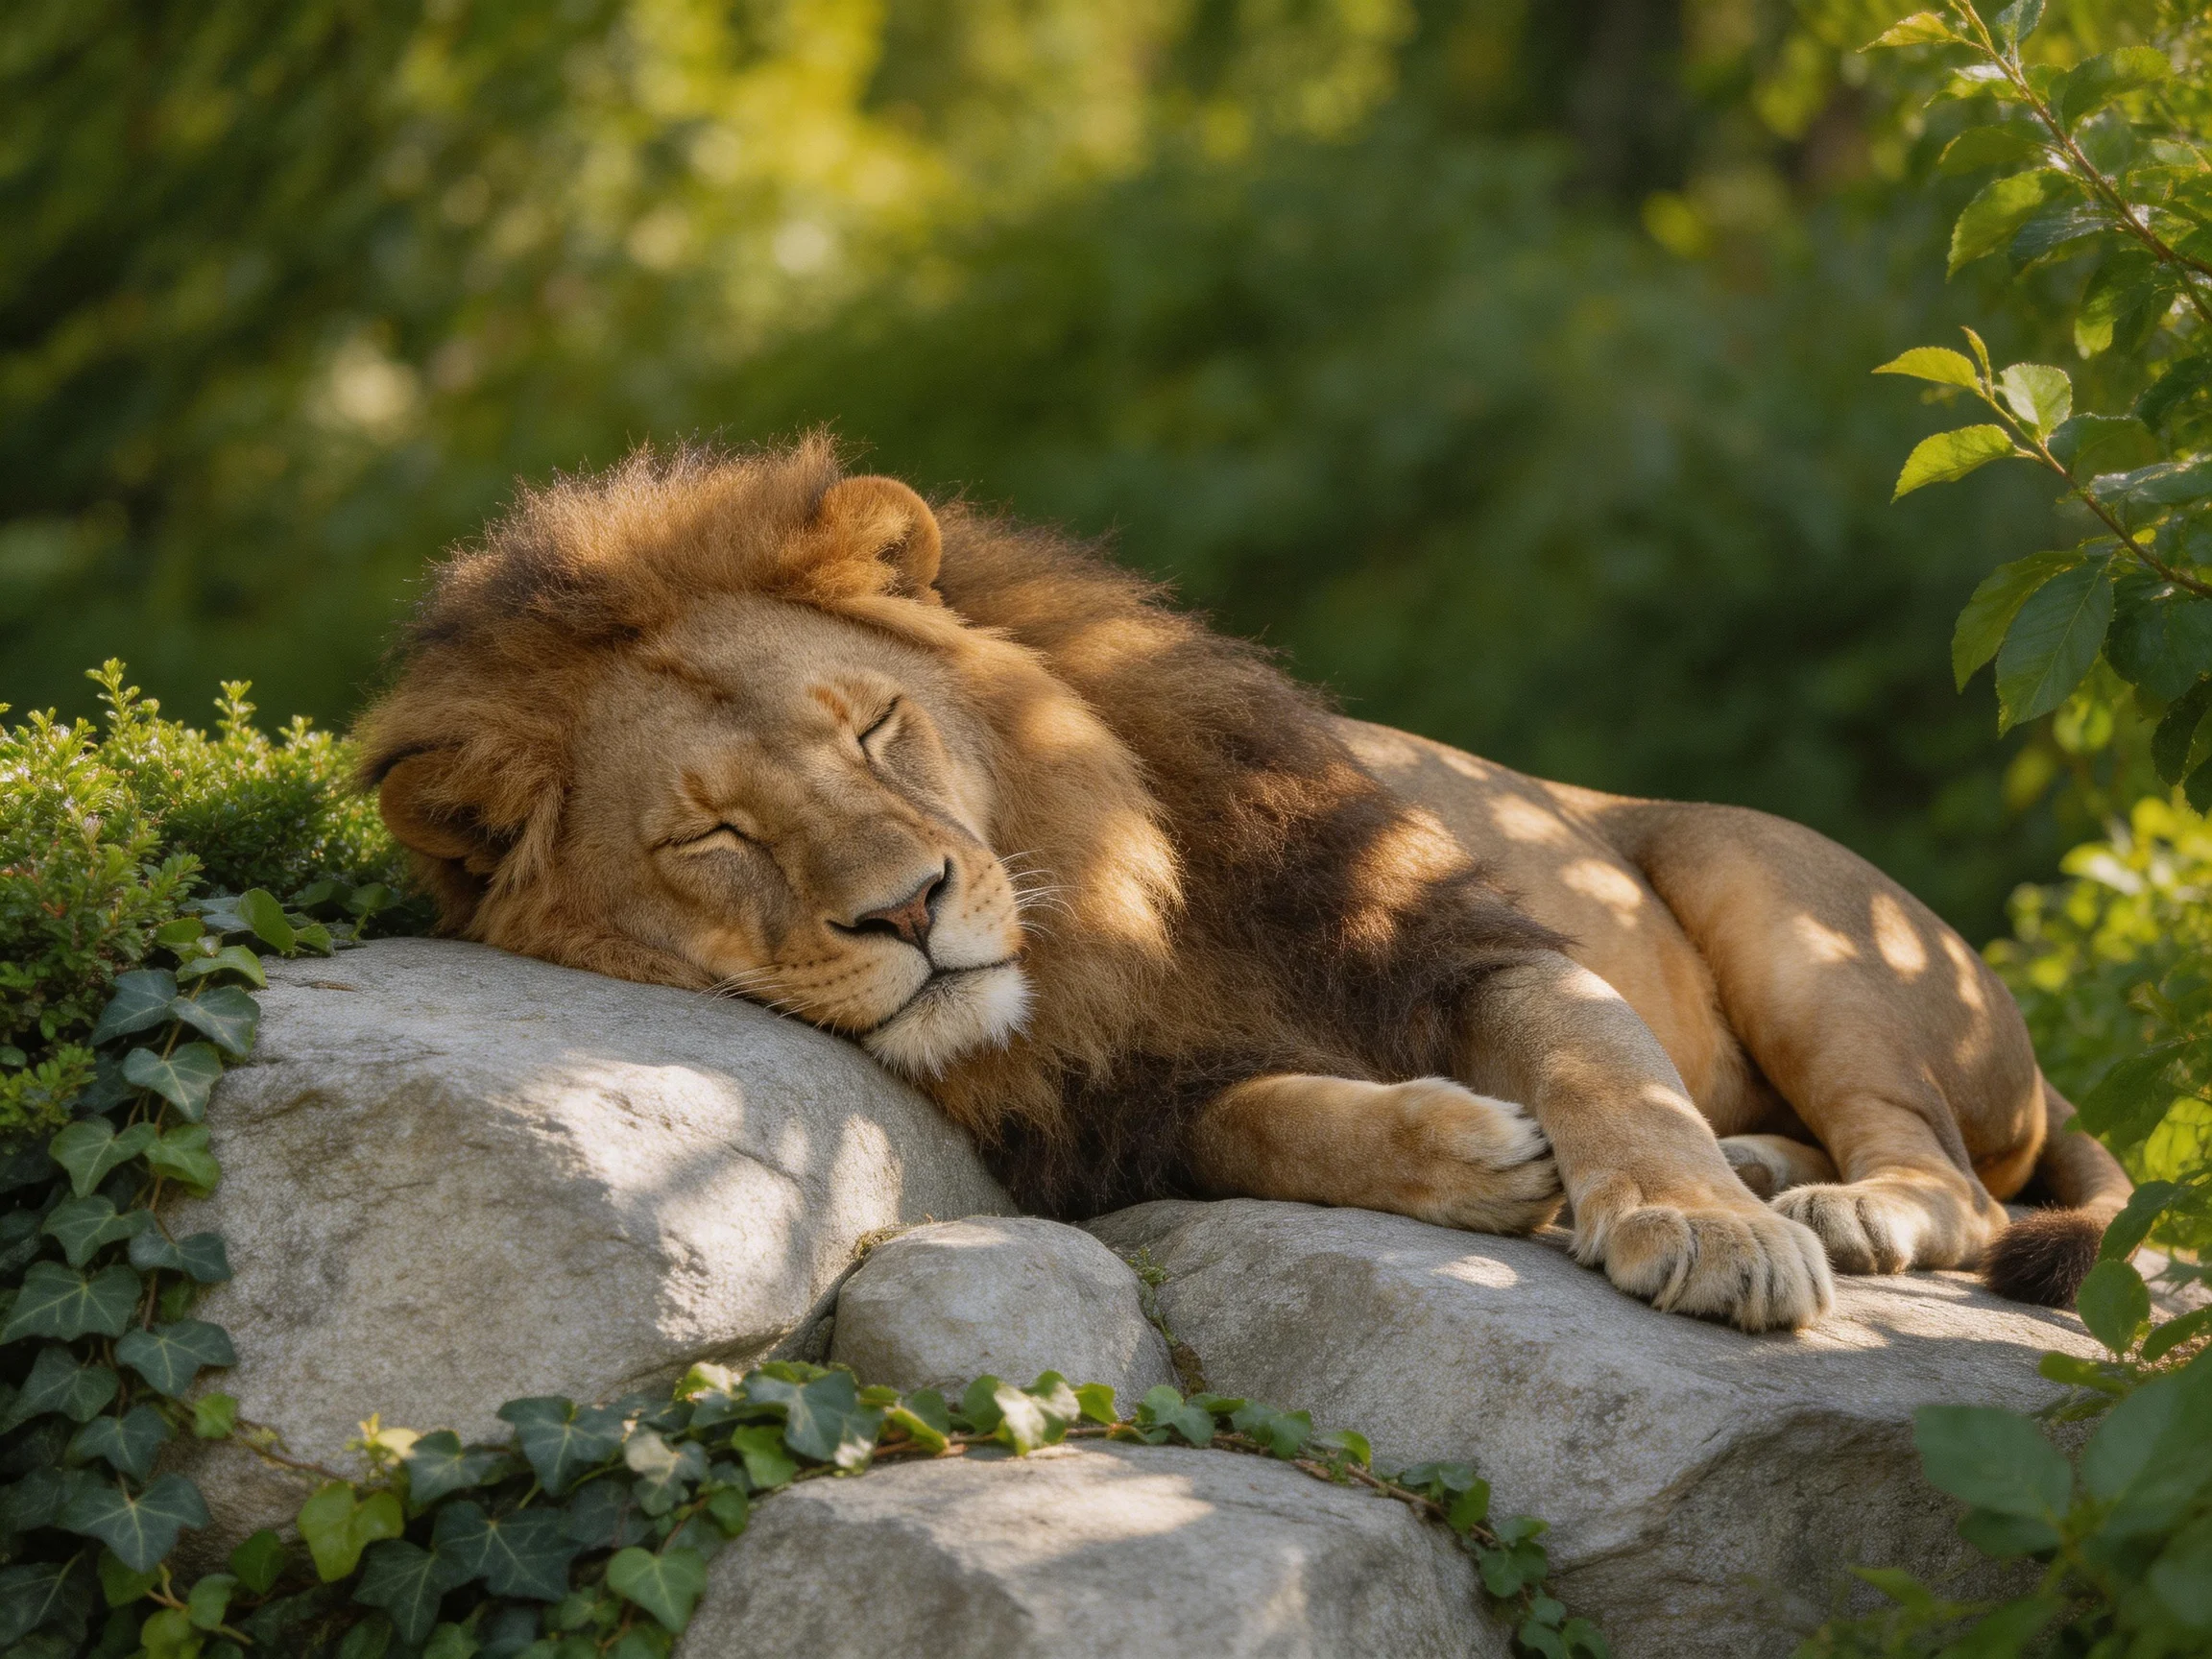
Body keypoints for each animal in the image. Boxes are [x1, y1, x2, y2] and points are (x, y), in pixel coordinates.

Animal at [356, 438, 2131, 1333]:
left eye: (870, 726)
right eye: (713, 838)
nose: (912, 907)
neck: (1093, 928)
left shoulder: (1440, 936)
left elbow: (1601, 1064)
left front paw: (1695, 1225)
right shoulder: (1106, 1116)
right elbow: (1265, 1121)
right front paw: (1470, 1156)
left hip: (1769, 888)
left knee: (1955, 1179)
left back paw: (1814, 1202)